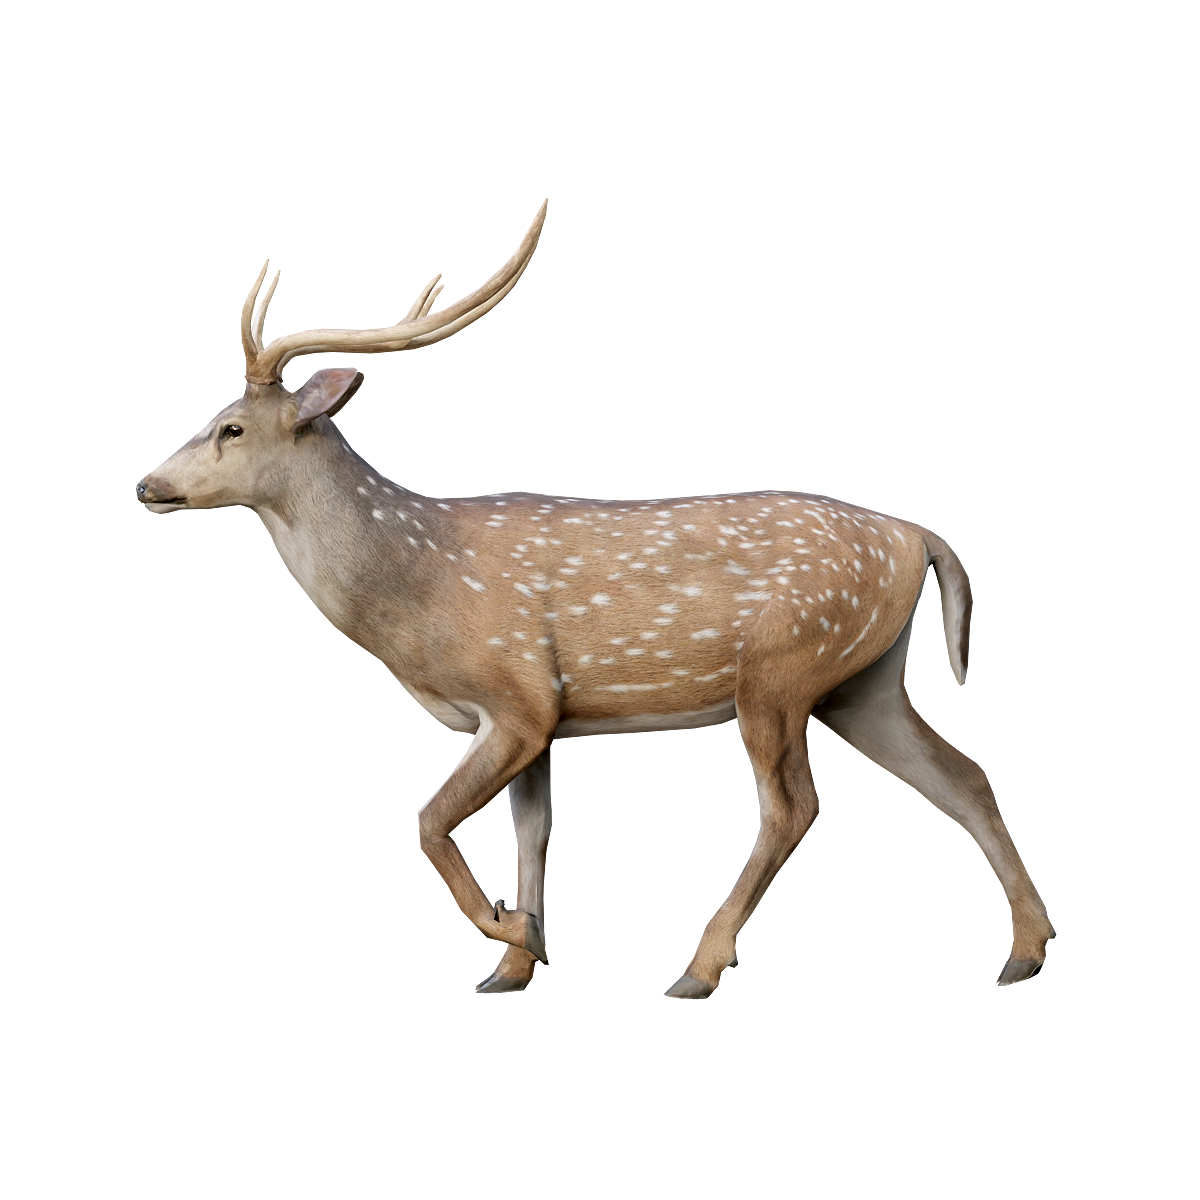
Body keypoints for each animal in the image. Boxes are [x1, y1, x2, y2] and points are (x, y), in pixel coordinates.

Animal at [138, 199, 1056, 998]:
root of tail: (917, 538)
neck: (416, 587)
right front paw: (518, 960)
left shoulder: (517, 695)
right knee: (962, 776)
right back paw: (1021, 952)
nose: (150, 483)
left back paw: (700, 968)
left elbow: (431, 821)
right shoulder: (545, 722)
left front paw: (509, 932)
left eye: (230, 428)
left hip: (781, 670)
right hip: (863, 681)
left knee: (792, 808)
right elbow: (533, 835)